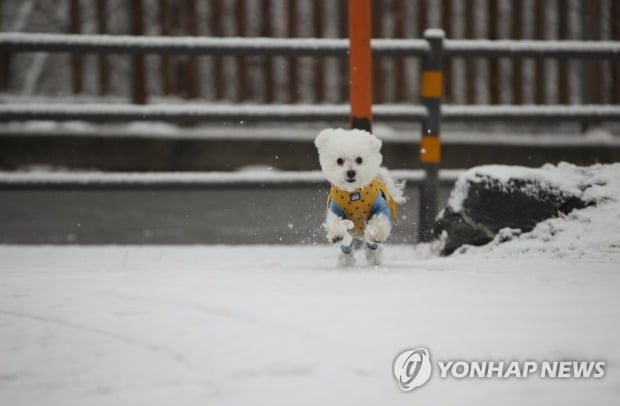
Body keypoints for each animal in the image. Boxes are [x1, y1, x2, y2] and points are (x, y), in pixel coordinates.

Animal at [314, 127, 406, 266]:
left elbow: (379, 220)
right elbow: (335, 221)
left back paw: (374, 258)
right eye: (339, 161)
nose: (351, 172)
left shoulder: (380, 206)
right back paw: (347, 261)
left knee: (371, 246)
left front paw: (376, 233)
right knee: (347, 246)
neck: (353, 193)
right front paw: (337, 234)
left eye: (359, 160)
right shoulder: (334, 208)